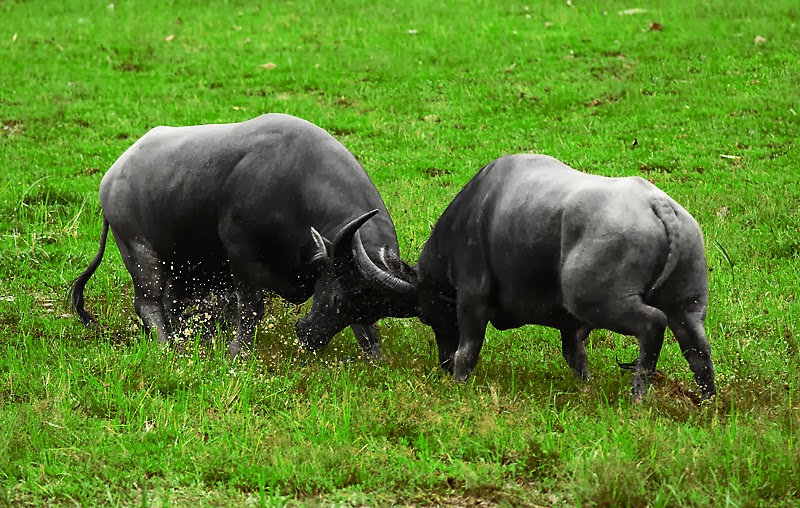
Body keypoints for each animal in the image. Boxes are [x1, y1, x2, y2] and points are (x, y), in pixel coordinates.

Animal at [69, 114, 412, 362]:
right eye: (339, 297)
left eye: (368, 310)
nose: (309, 336)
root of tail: (113, 175)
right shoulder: (240, 254)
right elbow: (251, 309)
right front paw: (237, 353)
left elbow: (367, 332)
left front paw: (374, 357)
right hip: (138, 250)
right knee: (148, 303)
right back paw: (169, 347)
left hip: (183, 265)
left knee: (172, 303)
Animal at [354, 154, 716, 400]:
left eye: (428, 315)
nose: (443, 365)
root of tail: (657, 204)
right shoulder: (572, 327)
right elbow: (575, 356)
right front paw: (586, 388)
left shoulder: (471, 297)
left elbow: (468, 349)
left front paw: (459, 381)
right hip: (688, 303)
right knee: (696, 346)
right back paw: (707, 400)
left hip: (599, 300)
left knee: (653, 324)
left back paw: (637, 396)